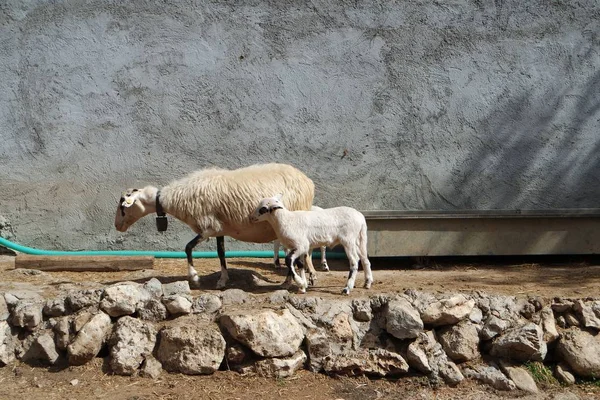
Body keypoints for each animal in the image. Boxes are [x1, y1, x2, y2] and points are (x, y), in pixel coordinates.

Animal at [114, 162, 316, 288]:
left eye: (123, 207)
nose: (117, 226)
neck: (174, 198)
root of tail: (308, 181)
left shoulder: (208, 227)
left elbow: (188, 247)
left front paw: (194, 278)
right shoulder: (220, 228)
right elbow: (221, 253)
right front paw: (223, 280)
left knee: (301, 255)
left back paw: (294, 281)